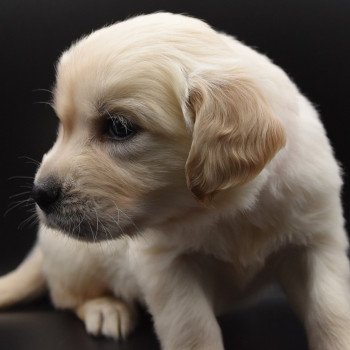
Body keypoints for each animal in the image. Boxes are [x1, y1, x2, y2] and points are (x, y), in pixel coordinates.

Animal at [0, 11, 350, 350]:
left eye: (119, 127)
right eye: (63, 125)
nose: (40, 194)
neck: (228, 210)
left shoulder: (317, 241)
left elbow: (330, 310)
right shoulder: (167, 265)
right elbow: (193, 328)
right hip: (76, 258)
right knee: (67, 295)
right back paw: (106, 309)